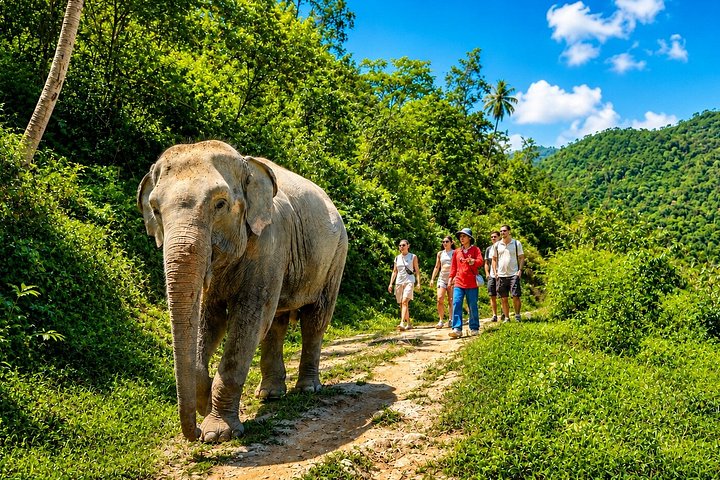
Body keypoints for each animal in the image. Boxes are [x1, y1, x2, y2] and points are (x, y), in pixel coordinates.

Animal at [137, 140, 348, 442]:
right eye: (154, 209)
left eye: (220, 204)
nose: (195, 432)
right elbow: (209, 319)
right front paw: (204, 404)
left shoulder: (270, 241)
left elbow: (248, 319)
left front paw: (217, 433)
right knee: (276, 323)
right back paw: (270, 395)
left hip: (336, 256)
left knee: (314, 320)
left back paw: (307, 389)